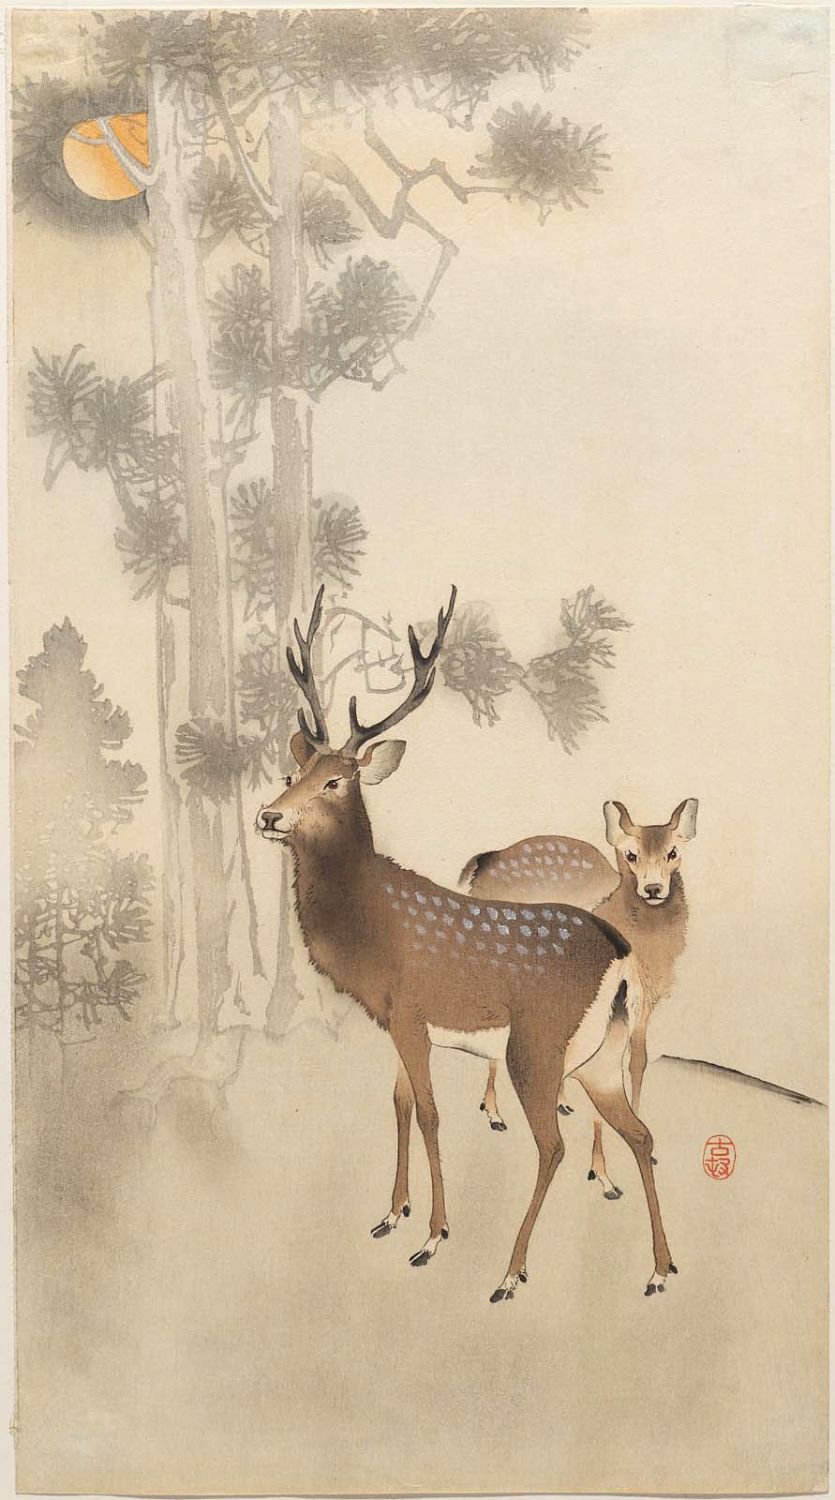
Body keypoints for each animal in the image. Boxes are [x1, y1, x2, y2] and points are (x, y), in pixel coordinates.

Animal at [464, 798, 699, 1198]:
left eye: (673, 852)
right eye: (631, 854)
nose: (653, 888)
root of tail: (482, 862)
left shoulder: (643, 1006)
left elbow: (637, 1064)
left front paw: (641, 1154)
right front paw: (603, 1175)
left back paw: (555, 1101)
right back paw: (494, 1112)